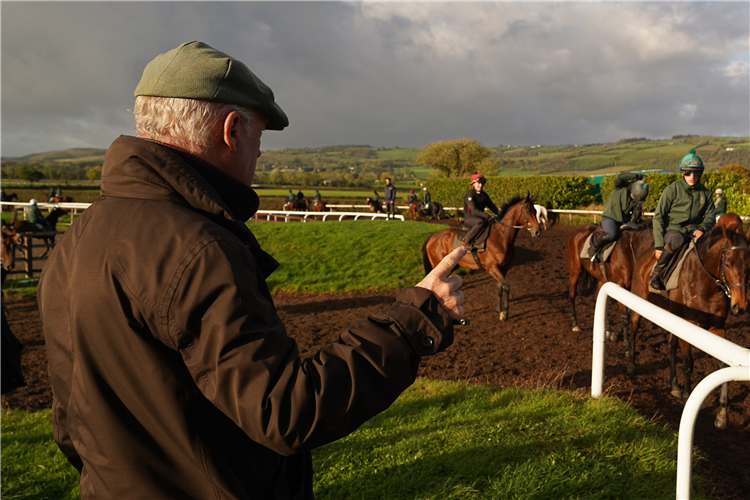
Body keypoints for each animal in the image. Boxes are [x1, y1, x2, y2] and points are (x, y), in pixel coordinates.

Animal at [424, 193, 540, 322]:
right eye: (527, 211)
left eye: (535, 211)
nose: (537, 231)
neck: (501, 236)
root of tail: (433, 236)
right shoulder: (492, 268)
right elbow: (506, 286)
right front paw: (504, 313)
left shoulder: (504, 267)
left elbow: (500, 287)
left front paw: (498, 310)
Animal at [632, 224, 748, 430]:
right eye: (727, 264)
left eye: (748, 265)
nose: (739, 307)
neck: (706, 285)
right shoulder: (688, 325)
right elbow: (688, 364)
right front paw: (687, 397)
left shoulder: (717, 328)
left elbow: (723, 365)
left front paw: (722, 415)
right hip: (638, 301)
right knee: (633, 328)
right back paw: (630, 364)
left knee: (670, 345)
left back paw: (674, 385)